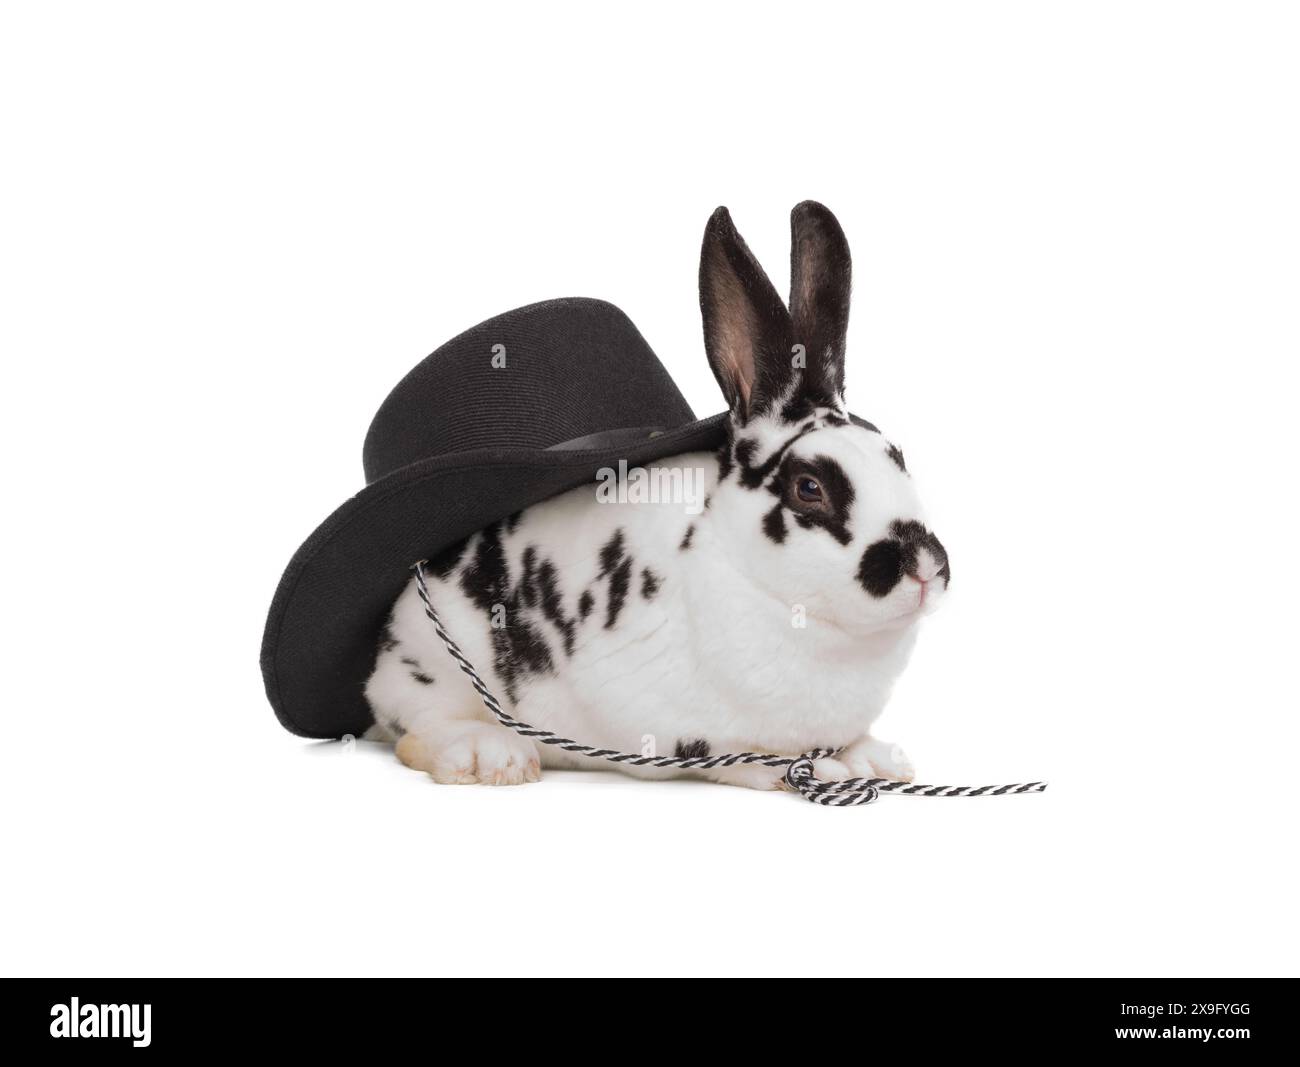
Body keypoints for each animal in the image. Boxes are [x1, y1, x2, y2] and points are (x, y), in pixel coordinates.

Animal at [364, 201, 949, 789]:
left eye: (898, 457)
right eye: (810, 488)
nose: (925, 568)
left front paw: (873, 758)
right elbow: (748, 755)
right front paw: (820, 768)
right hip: (426, 666)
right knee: (416, 727)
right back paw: (491, 756)